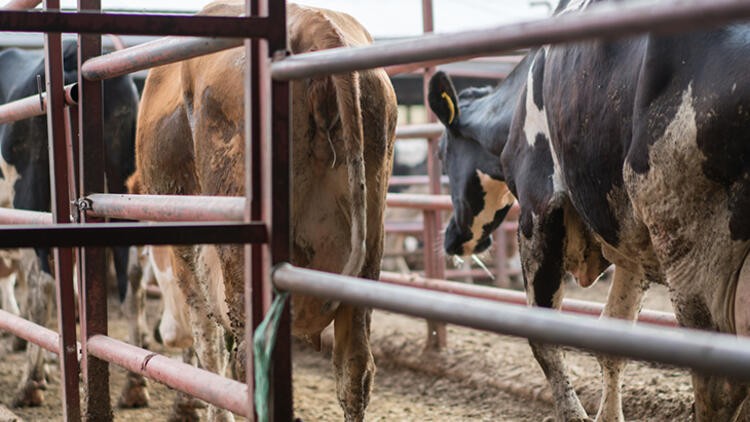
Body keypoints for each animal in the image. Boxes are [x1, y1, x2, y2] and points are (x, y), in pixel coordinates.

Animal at [0, 41, 142, 408]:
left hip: (31, 192)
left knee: (43, 282)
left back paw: (30, 382)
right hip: (122, 186)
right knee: (129, 273)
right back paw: (134, 385)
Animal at [129, 1, 400, 420]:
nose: (168, 333)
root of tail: (312, 23)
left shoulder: (188, 256)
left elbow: (208, 347)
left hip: (241, 257)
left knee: (246, 360)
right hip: (370, 248)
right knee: (355, 368)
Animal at [428, 1, 750, 420]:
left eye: (441, 153)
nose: (451, 237)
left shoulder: (539, 208)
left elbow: (544, 339)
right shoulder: (629, 243)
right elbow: (612, 340)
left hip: (687, 239)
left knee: (718, 382)